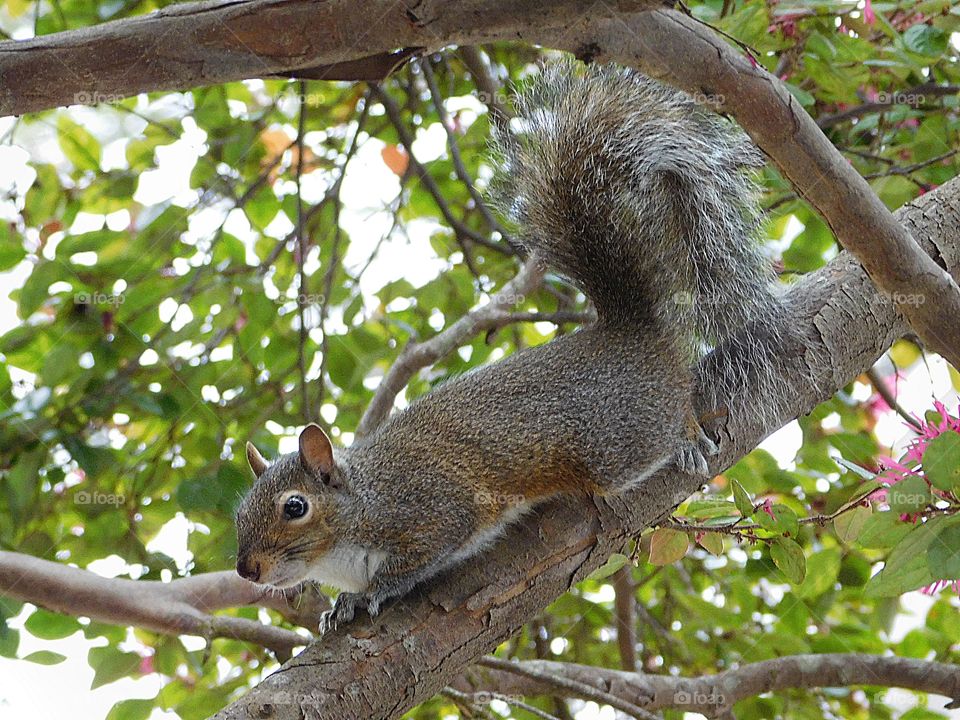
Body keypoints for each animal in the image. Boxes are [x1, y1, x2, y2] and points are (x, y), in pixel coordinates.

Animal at [235, 61, 791, 632]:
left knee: (665, 421)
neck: (362, 502)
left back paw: (686, 439)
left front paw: (373, 592)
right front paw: (339, 606)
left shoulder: (432, 510)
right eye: (240, 512)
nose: (246, 569)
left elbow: (419, 556)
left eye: (294, 507)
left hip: (616, 441)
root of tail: (631, 329)